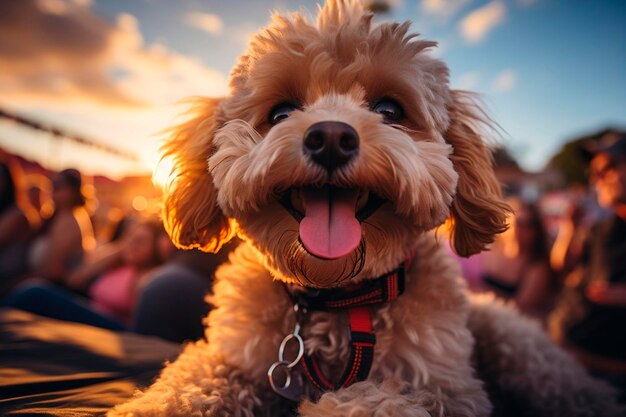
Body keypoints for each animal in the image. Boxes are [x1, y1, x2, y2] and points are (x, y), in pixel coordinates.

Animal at [109, 1, 620, 414]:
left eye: (390, 110)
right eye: (280, 112)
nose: (331, 137)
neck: (337, 301)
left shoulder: (447, 387)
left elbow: (377, 399)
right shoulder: (239, 357)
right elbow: (195, 380)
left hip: (515, 340)